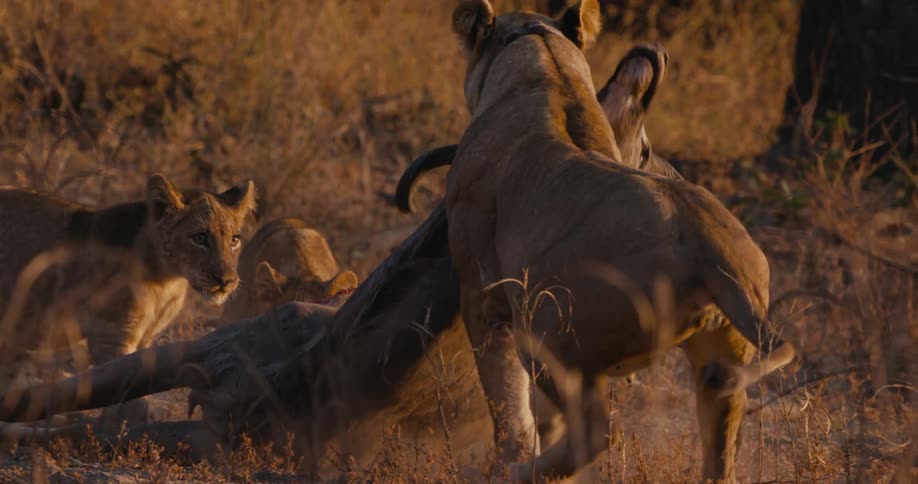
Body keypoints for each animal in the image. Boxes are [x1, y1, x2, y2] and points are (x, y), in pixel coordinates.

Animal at [442, 1, 796, 482]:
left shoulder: (482, 294)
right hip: (720, 353)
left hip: (547, 326)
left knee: (597, 433)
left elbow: (507, 402)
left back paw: (517, 474)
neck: (547, 63)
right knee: (719, 447)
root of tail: (713, 246)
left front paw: (508, 456)